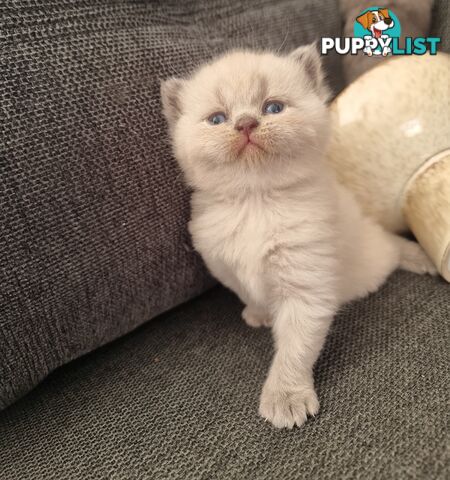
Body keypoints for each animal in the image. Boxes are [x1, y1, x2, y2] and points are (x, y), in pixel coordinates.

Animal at [161, 44, 436, 428]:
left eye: (273, 108)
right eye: (217, 119)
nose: (245, 123)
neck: (256, 201)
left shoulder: (306, 285)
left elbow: (294, 349)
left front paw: (285, 398)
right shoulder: (223, 263)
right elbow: (247, 289)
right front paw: (259, 313)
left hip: (374, 249)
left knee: (391, 244)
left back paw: (419, 257)